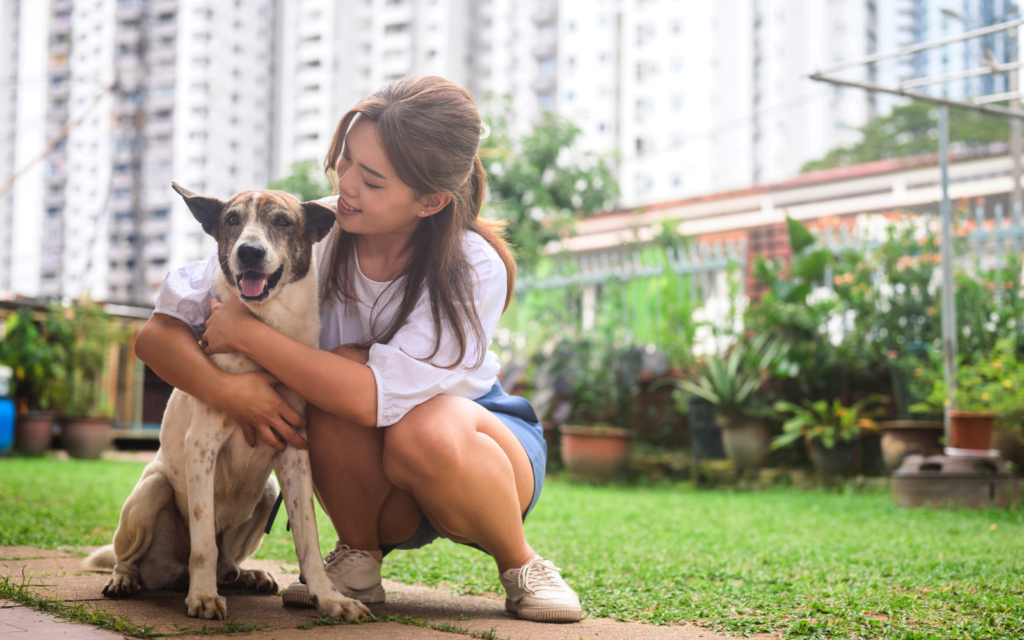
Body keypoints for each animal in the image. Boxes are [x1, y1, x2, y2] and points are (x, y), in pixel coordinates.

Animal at [84, 182, 372, 622]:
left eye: (282, 221)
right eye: (232, 219)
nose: (249, 252)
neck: (266, 329)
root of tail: (168, 574)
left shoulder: (294, 454)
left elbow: (308, 539)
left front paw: (329, 597)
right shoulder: (202, 446)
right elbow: (204, 541)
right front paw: (203, 597)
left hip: (267, 492)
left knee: (226, 563)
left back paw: (244, 575)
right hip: (153, 491)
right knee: (131, 556)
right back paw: (129, 580)